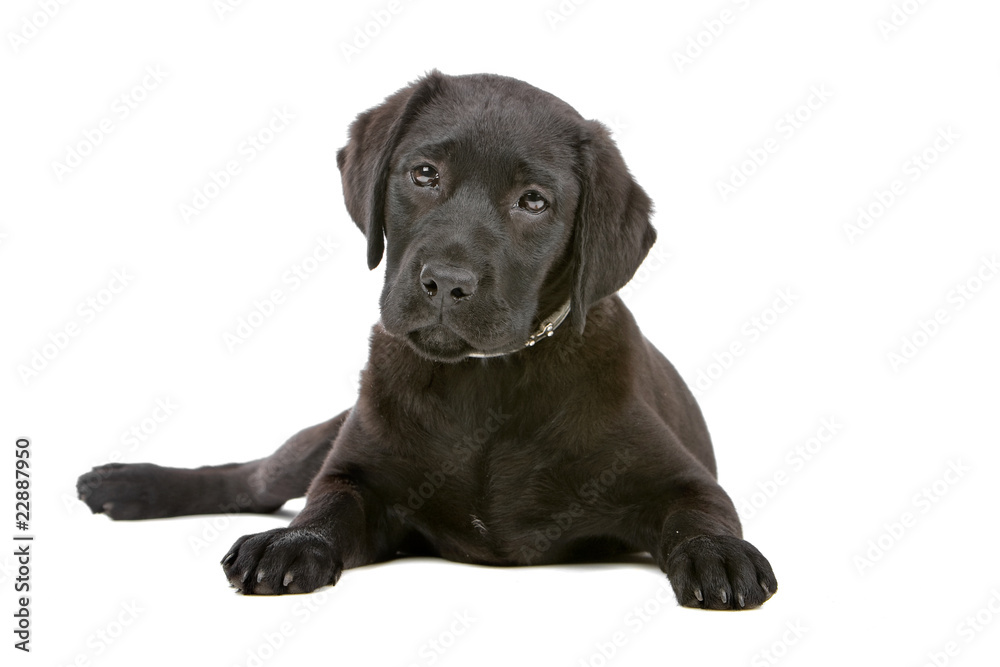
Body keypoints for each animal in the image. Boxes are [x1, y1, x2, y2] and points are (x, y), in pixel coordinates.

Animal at [80, 72, 780, 612]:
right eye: (423, 174)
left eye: (534, 201)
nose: (446, 282)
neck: (482, 378)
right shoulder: (357, 472)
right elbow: (325, 506)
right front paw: (292, 543)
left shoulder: (683, 480)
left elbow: (700, 513)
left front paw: (720, 555)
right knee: (253, 478)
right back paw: (130, 485)